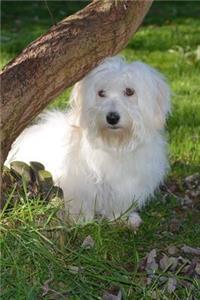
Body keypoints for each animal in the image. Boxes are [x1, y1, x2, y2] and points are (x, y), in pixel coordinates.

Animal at [6, 56, 170, 229]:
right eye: (101, 93)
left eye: (129, 91)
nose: (112, 117)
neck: (114, 145)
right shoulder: (77, 184)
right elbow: (81, 202)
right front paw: (82, 220)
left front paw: (122, 218)